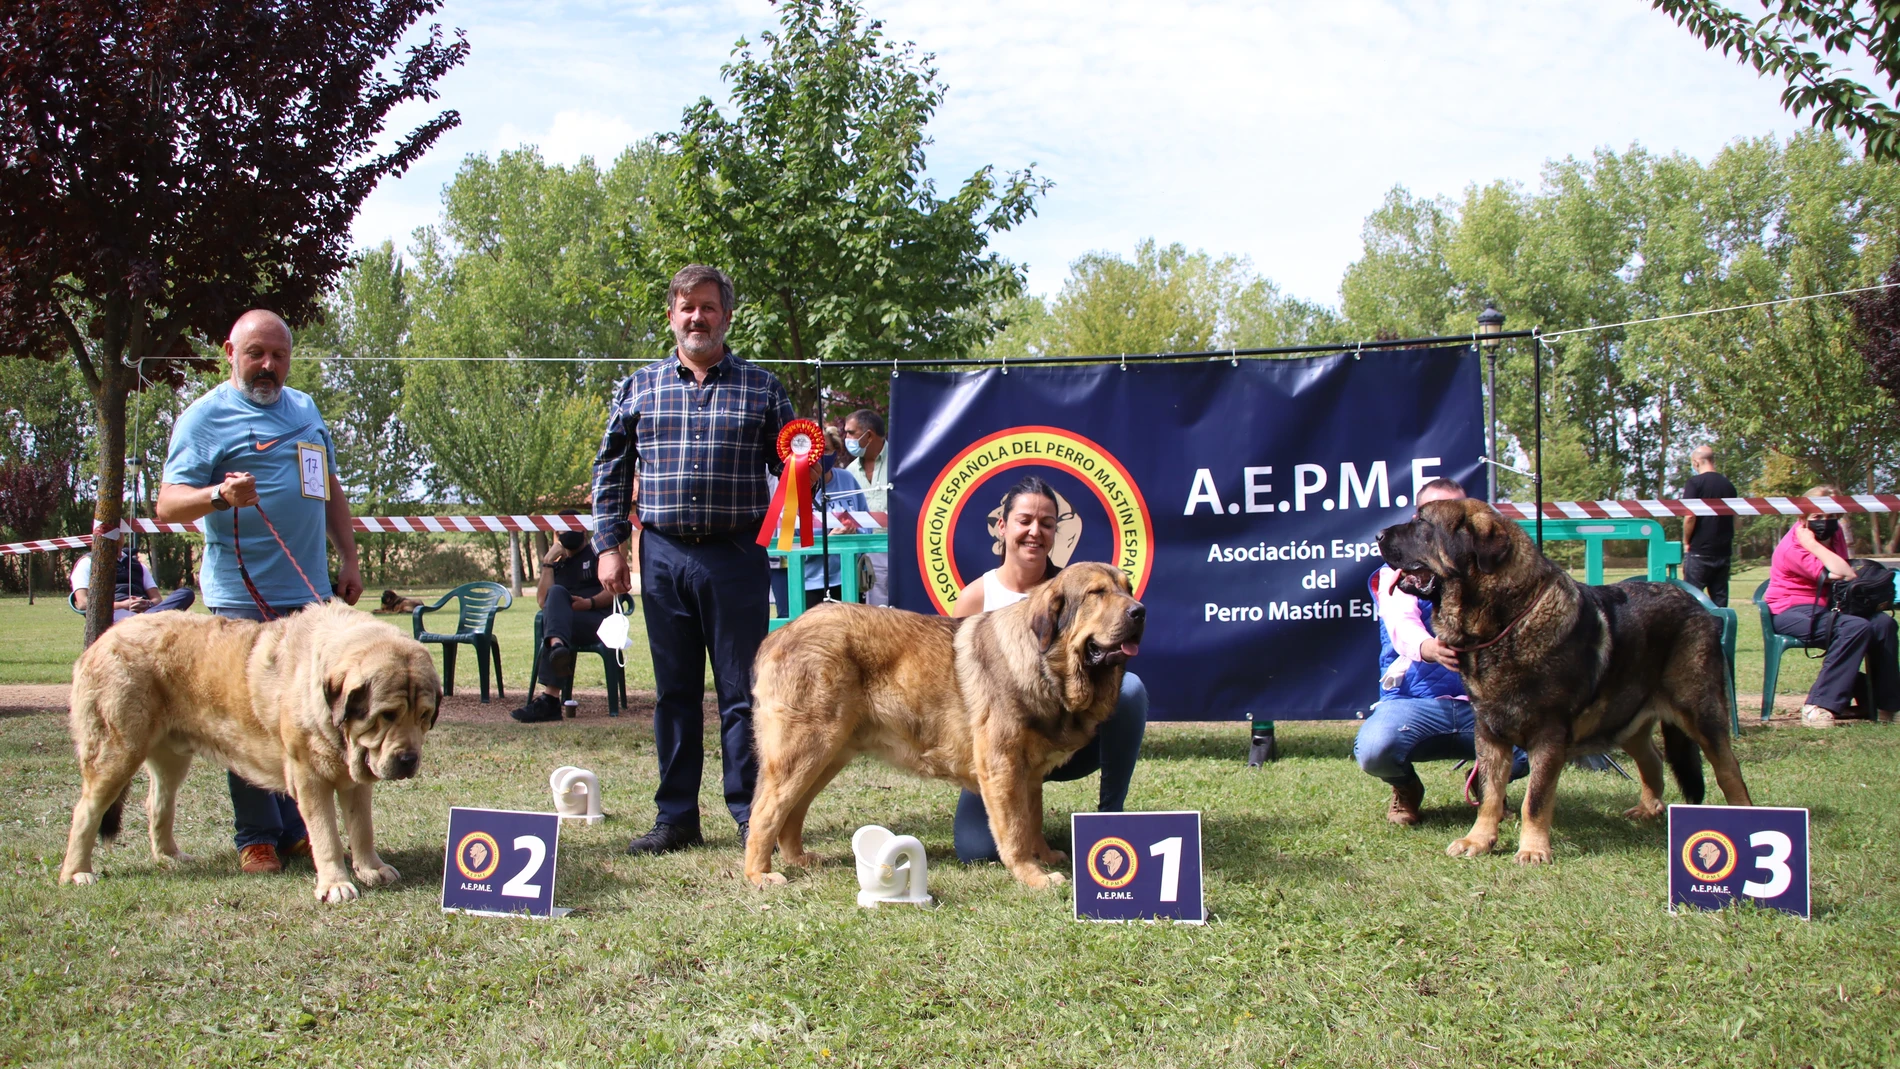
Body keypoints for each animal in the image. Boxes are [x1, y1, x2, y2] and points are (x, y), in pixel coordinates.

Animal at [1375, 501, 1755, 862]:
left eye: (1422, 523)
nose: (1378, 534)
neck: (1507, 621)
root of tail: (1694, 602)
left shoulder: (1548, 735)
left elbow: (1535, 798)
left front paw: (1532, 849)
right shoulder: (1490, 732)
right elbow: (1491, 793)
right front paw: (1478, 840)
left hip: (1700, 712)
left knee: (1728, 770)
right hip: (1624, 717)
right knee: (1652, 759)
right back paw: (1648, 809)